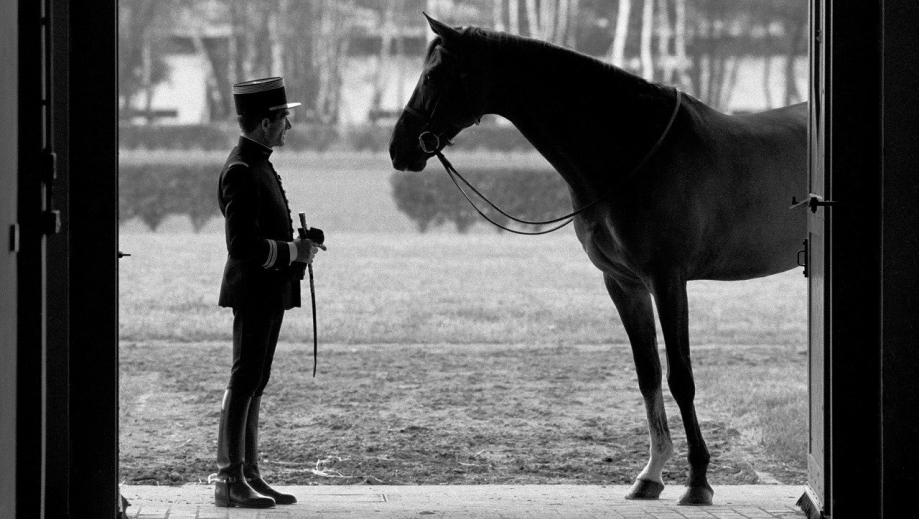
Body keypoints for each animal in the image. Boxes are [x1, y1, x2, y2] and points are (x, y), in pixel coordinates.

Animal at [388, 14, 804, 506]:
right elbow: (648, 373)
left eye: (435, 74)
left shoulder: (668, 278)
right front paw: (651, 475)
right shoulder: (623, 283)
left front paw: (698, 481)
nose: (398, 148)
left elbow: (680, 376)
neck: (631, 148)